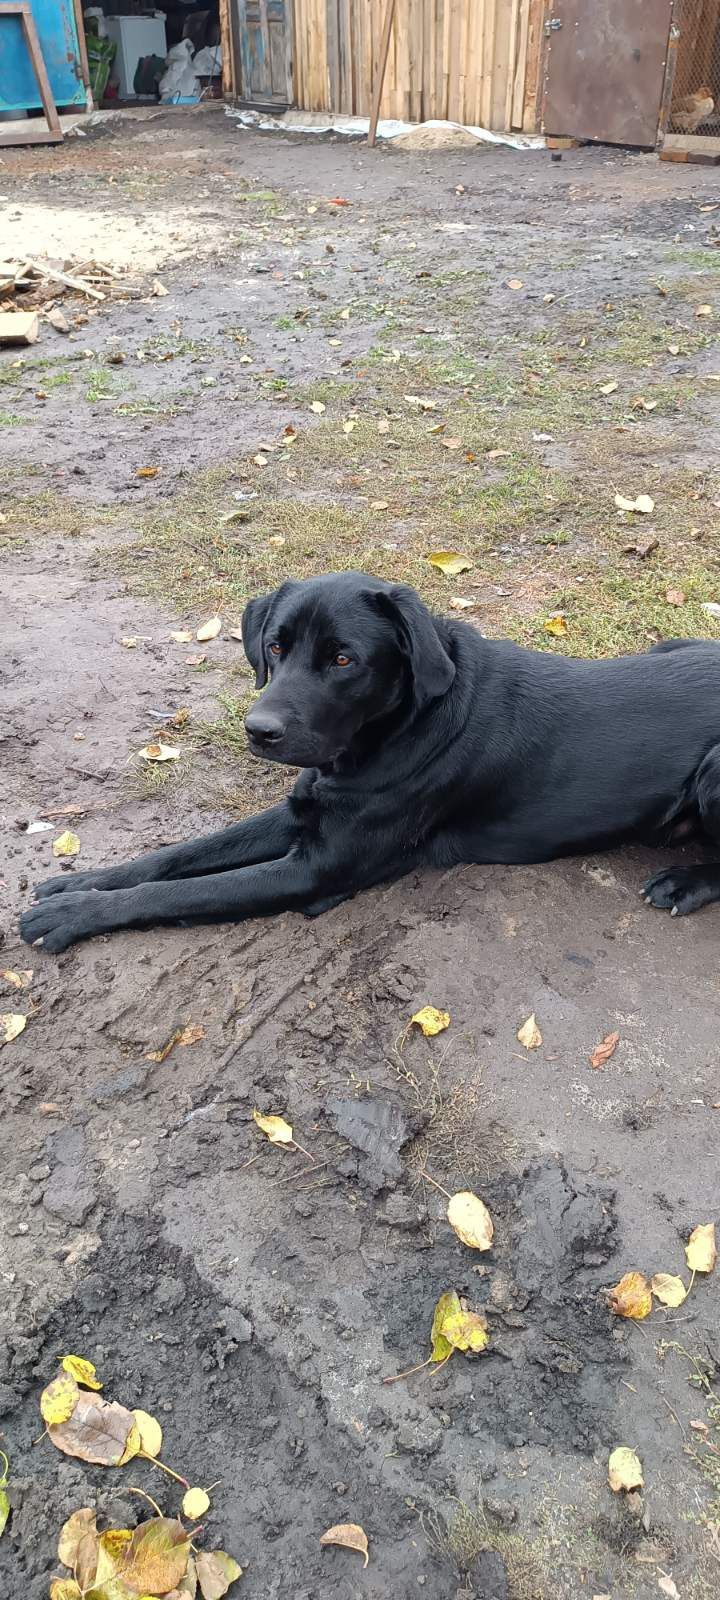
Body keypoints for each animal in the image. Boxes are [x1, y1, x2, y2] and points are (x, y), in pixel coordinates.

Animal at [19, 572, 720, 947]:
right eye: (275, 646)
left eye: (343, 659)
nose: (258, 730)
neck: (392, 733)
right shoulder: (303, 809)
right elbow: (177, 858)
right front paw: (79, 883)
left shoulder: (317, 868)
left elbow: (181, 891)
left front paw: (73, 915)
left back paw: (685, 882)